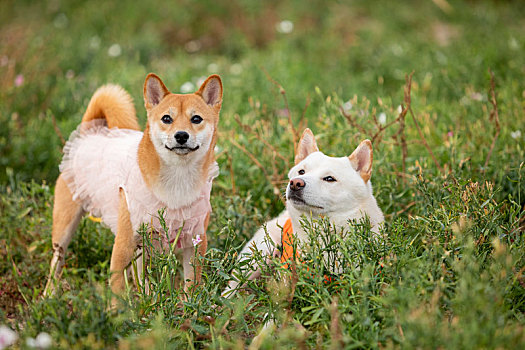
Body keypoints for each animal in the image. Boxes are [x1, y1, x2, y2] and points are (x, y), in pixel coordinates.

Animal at [44, 74, 222, 298]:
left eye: (196, 119)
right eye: (167, 118)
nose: (181, 135)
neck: (177, 178)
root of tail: (88, 132)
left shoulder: (195, 241)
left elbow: (192, 287)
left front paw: (190, 305)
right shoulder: (123, 245)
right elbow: (118, 291)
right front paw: (120, 308)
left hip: (142, 245)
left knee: (141, 276)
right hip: (65, 228)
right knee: (56, 261)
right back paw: (48, 295)